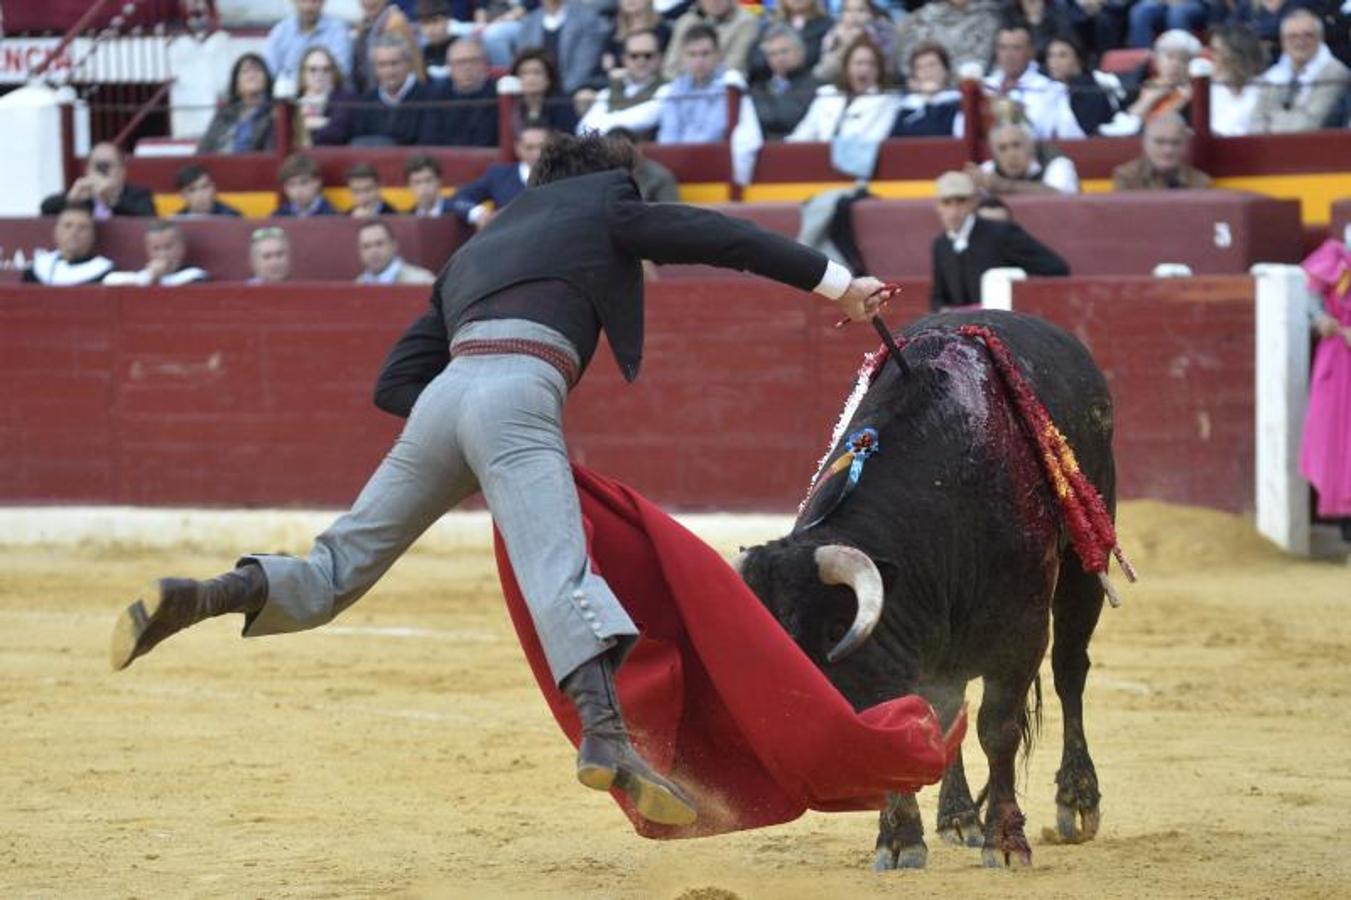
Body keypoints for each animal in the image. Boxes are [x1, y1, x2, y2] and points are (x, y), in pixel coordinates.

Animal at [734, 306, 1113, 864]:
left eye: (823, 634)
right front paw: (899, 840)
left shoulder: (1020, 632)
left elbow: (998, 728)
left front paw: (1005, 841)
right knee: (949, 709)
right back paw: (957, 817)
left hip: (1084, 564)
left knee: (1070, 670)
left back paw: (1077, 800)